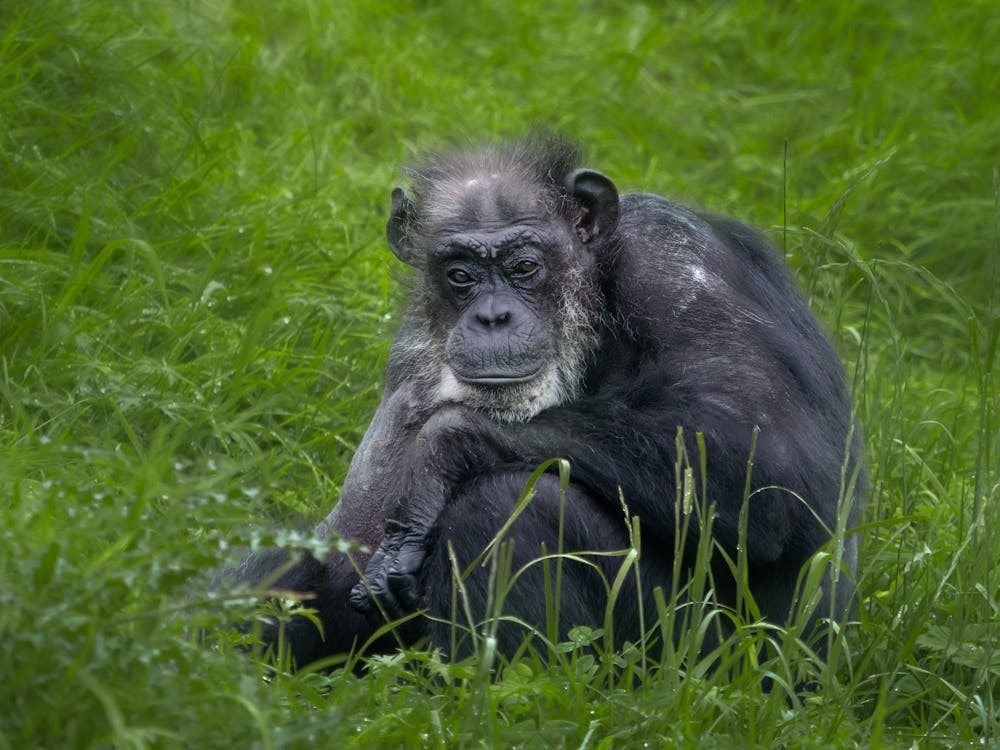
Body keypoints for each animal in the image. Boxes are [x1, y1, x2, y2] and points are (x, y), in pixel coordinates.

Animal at [238, 134, 864, 668]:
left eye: (523, 266)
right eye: (460, 274)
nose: (492, 316)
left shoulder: (676, 265)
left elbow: (766, 463)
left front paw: (440, 454)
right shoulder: (411, 361)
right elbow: (348, 544)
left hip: (719, 660)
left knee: (511, 503)